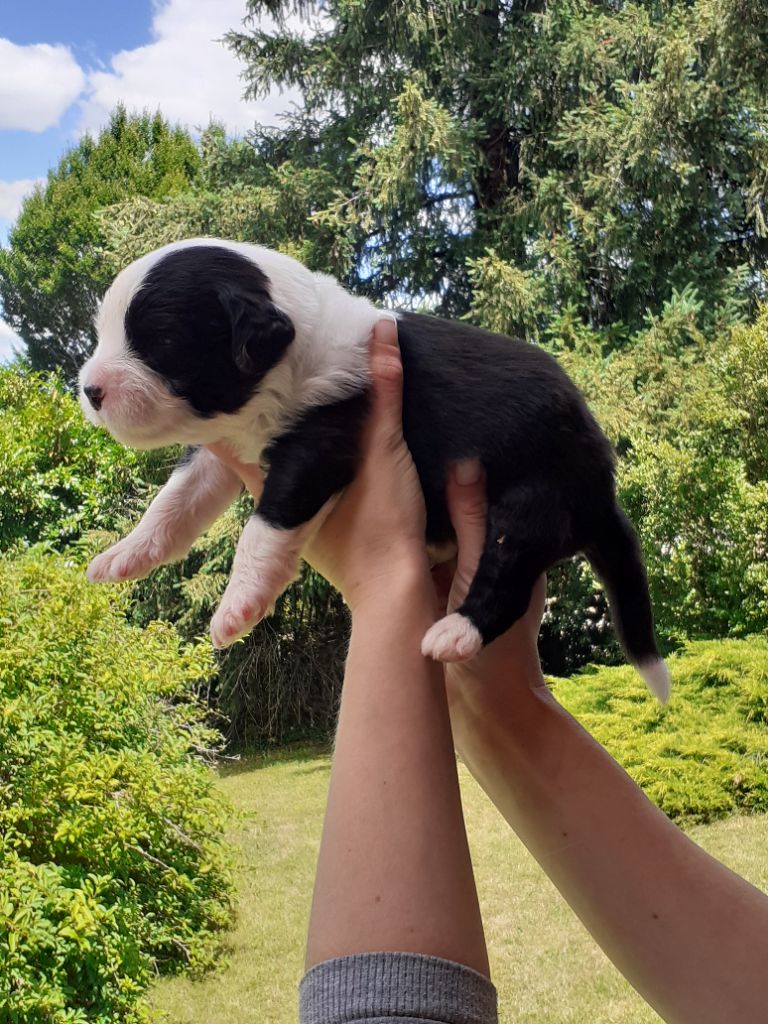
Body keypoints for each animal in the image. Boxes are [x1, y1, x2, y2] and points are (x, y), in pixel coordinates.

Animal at [79, 238, 670, 701]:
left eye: (163, 344)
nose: (88, 390)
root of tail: (604, 489)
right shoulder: (222, 446)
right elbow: (173, 502)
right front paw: (122, 556)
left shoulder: (321, 440)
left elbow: (263, 527)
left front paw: (237, 608)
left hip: (531, 501)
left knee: (508, 576)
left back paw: (456, 632)